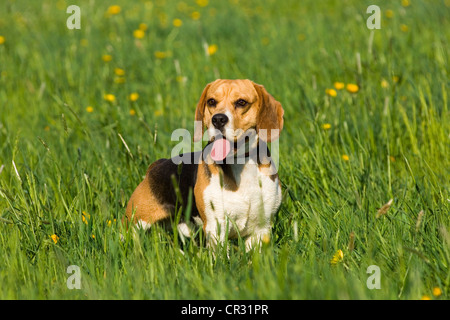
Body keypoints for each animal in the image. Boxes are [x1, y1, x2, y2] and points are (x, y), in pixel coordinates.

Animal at [125, 79, 284, 251]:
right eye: (211, 101)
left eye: (241, 102)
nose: (218, 119)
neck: (241, 163)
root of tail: (155, 165)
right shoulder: (216, 226)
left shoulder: (261, 229)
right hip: (135, 224)